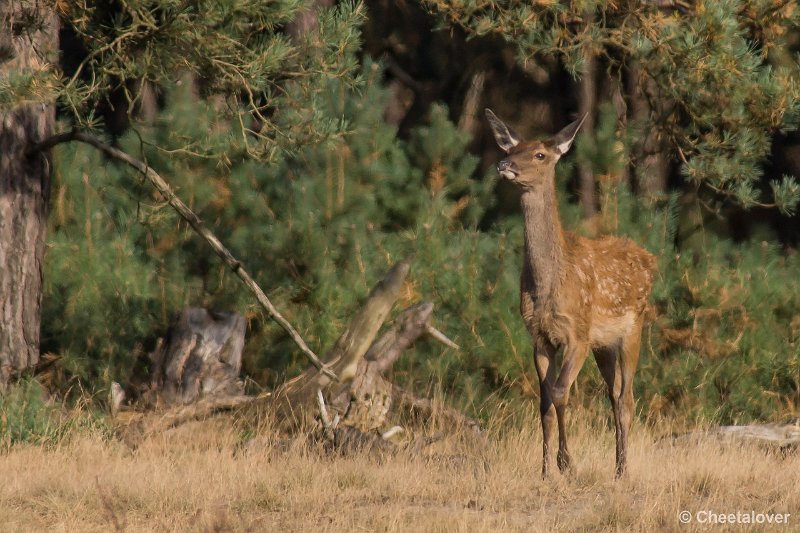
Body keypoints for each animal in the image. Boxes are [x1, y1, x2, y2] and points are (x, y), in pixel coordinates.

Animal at [484, 109, 660, 478]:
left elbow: (561, 393)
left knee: (627, 399)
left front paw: (566, 463)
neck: (548, 286)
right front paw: (545, 470)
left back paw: (623, 472)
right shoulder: (539, 337)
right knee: (614, 395)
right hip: (603, 344)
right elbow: (544, 402)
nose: (505, 163)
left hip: (632, 329)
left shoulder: (576, 333)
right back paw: (617, 465)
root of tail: (649, 260)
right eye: (513, 147)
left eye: (540, 154)